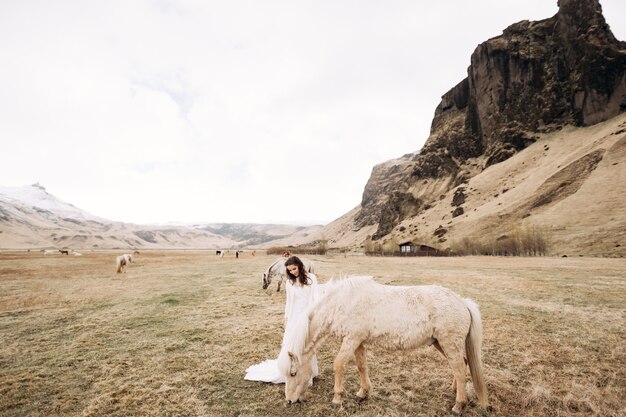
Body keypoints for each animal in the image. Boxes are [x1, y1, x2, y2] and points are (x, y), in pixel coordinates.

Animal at [276, 274, 488, 414]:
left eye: (293, 373)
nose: (289, 401)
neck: (342, 302)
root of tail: (462, 301)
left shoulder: (351, 339)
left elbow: (338, 365)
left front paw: (337, 399)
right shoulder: (358, 341)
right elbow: (361, 366)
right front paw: (362, 393)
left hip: (449, 343)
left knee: (459, 368)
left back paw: (459, 404)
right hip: (441, 344)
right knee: (461, 365)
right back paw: (455, 391)